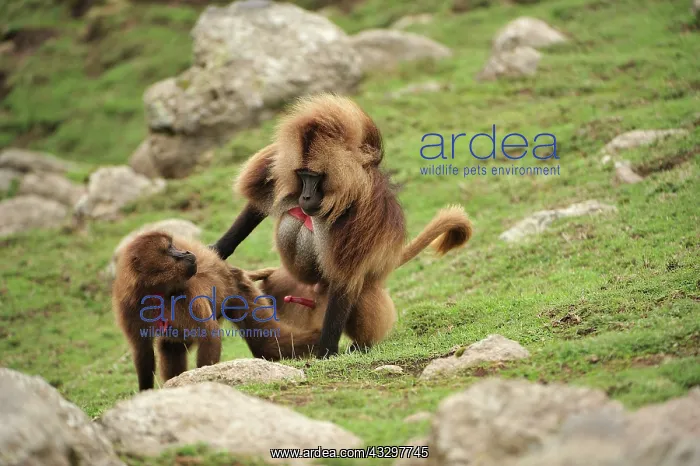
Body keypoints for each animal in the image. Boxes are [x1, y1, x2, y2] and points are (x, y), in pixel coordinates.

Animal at [112, 231, 320, 391]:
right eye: (170, 249)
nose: (186, 252)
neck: (159, 293)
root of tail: (230, 269)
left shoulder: (187, 297)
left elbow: (209, 334)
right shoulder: (129, 306)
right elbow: (142, 349)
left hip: (239, 290)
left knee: (266, 344)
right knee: (170, 346)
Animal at [211, 93, 473, 358]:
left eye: (315, 177)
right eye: (302, 175)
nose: (305, 197)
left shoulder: (362, 216)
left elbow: (345, 278)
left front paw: (326, 350)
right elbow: (258, 204)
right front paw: (217, 250)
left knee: (359, 294)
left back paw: (361, 345)